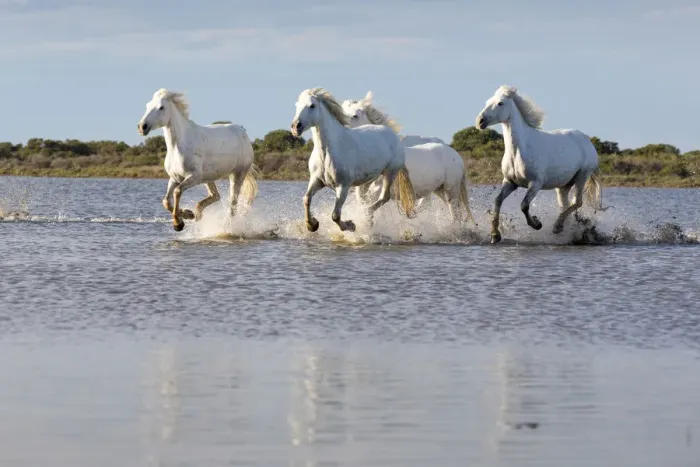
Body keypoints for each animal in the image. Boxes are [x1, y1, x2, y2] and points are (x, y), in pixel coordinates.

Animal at [137, 88, 260, 231]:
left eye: (161, 107)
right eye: (147, 105)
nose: (142, 127)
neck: (178, 147)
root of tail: (242, 131)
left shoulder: (193, 177)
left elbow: (177, 191)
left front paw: (178, 224)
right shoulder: (174, 178)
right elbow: (166, 201)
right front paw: (187, 215)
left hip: (237, 174)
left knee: (232, 204)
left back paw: (227, 226)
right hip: (208, 178)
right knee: (216, 196)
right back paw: (197, 213)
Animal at [289, 87, 416, 233]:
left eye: (312, 105)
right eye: (296, 105)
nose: (295, 127)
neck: (328, 152)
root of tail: (392, 134)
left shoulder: (343, 186)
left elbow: (335, 215)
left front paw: (350, 225)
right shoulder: (316, 180)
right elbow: (306, 199)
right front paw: (312, 225)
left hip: (390, 172)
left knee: (384, 197)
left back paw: (367, 217)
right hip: (368, 179)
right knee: (367, 199)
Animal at [342, 93, 474, 223]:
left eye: (355, 116)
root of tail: (456, 155)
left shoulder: (377, 192)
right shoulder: (363, 194)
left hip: (450, 190)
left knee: (453, 214)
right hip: (439, 190)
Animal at [475, 85, 608, 244]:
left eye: (500, 103)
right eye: (488, 101)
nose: (480, 121)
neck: (519, 150)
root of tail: (586, 140)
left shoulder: (535, 184)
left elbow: (524, 205)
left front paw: (537, 224)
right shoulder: (509, 182)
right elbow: (497, 201)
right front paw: (495, 235)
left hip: (582, 176)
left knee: (577, 202)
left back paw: (557, 227)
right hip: (563, 185)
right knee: (565, 205)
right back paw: (563, 229)